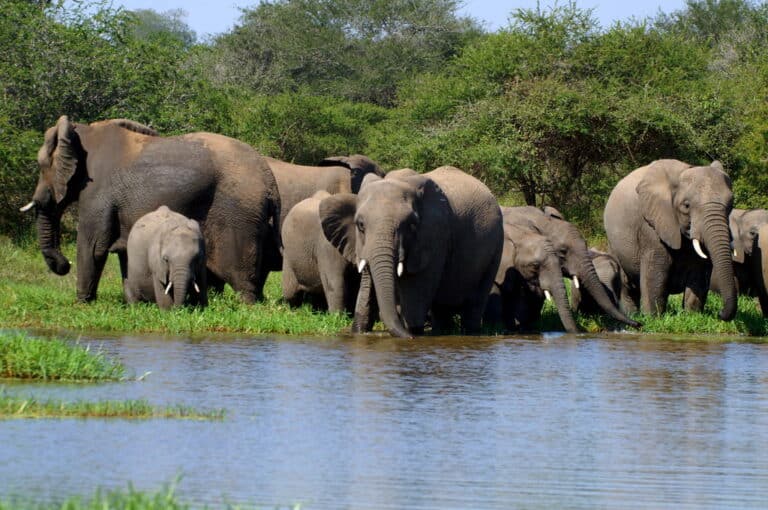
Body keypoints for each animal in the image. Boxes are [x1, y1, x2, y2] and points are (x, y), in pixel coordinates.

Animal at [21, 116, 281, 303]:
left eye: (41, 166)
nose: (64, 265)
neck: (81, 132)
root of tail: (270, 180)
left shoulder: (97, 193)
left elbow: (93, 246)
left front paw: (82, 304)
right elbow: (125, 253)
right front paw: (132, 303)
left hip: (239, 215)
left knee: (239, 276)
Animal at [319, 166, 504, 338]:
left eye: (411, 225)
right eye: (361, 225)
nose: (410, 338)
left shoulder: (436, 236)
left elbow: (417, 285)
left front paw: (412, 332)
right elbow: (367, 282)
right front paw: (359, 331)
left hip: (496, 245)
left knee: (477, 298)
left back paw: (469, 332)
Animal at [603, 159, 736, 320]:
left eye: (731, 204)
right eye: (686, 205)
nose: (720, 313)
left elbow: (699, 274)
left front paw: (692, 317)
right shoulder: (651, 225)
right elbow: (656, 272)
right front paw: (653, 319)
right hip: (613, 244)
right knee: (626, 284)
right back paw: (632, 316)